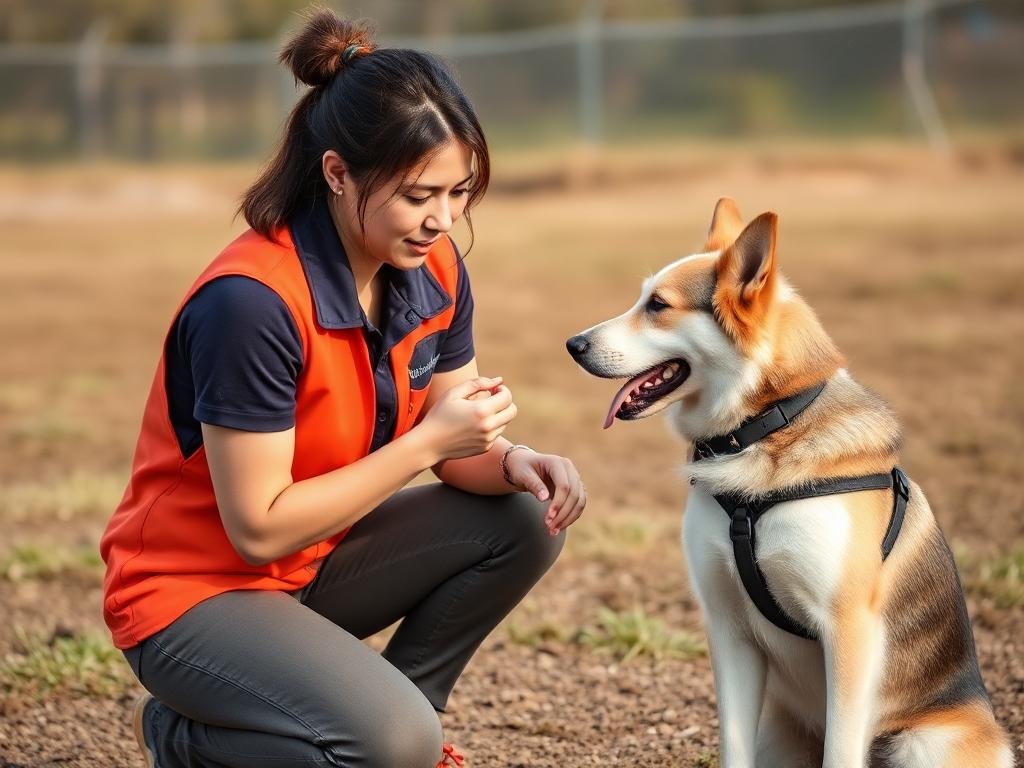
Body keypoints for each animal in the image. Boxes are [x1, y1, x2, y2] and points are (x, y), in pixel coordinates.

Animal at [569, 199, 1015, 768]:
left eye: (658, 305)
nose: (573, 344)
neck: (762, 429)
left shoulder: (848, 630)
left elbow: (841, 752)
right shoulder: (728, 629)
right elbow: (732, 746)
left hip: (924, 743)